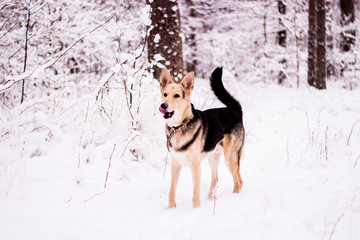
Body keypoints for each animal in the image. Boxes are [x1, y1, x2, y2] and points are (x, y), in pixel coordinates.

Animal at [160, 66, 245, 207]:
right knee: (216, 178)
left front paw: (196, 209)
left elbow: (195, 193)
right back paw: (210, 198)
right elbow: (171, 190)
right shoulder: (176, 164)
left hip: (230, 157)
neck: (180, 126)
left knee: (238, 181)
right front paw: (171, 208)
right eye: (165, 94)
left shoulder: (196, 166)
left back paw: (234, 198)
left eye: (176, 96)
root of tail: (234, 111)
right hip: (213, 156)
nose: (163, 105)